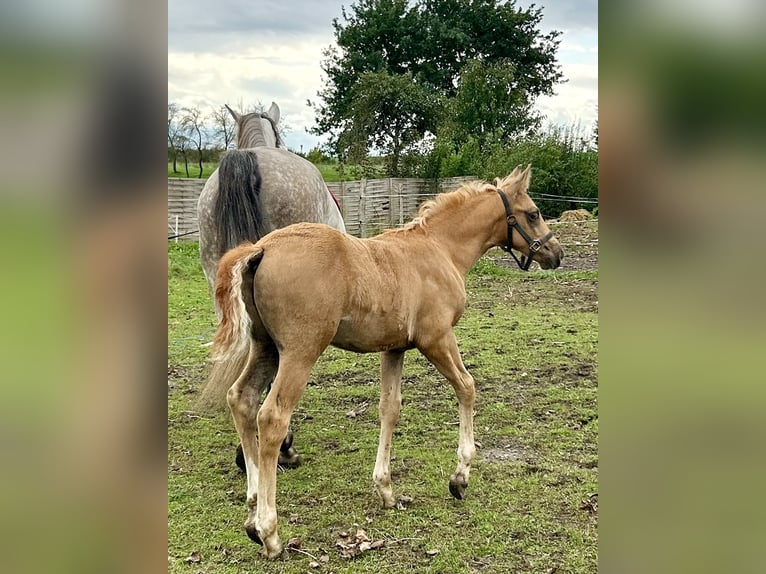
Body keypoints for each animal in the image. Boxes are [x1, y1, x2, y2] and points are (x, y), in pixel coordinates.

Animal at [202, 165, 564, 560]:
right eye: (533, 213)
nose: (556, 253)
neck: (439, 249)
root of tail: (261, 247)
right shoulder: (436, 338)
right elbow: (467, 387)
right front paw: (460, 477)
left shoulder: (394, 349)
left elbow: (390, 409)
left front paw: (386, 489)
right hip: (300, 352)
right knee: (271, 418)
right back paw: (269, 532)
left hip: (265, 347)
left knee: (242, 399)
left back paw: (253, 509)